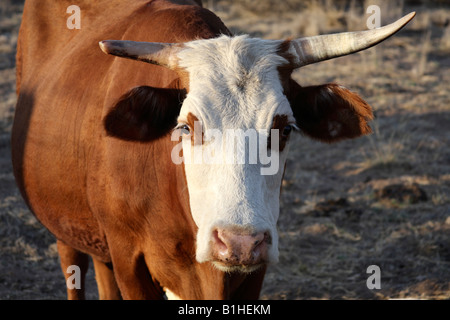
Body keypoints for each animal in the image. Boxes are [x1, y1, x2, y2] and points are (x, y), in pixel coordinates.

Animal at [12, 0, 414, 300]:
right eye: (187, 126)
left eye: (284, 128)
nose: (239, 242)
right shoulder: (130, 260)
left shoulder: (254, 270)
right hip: (64, 228)